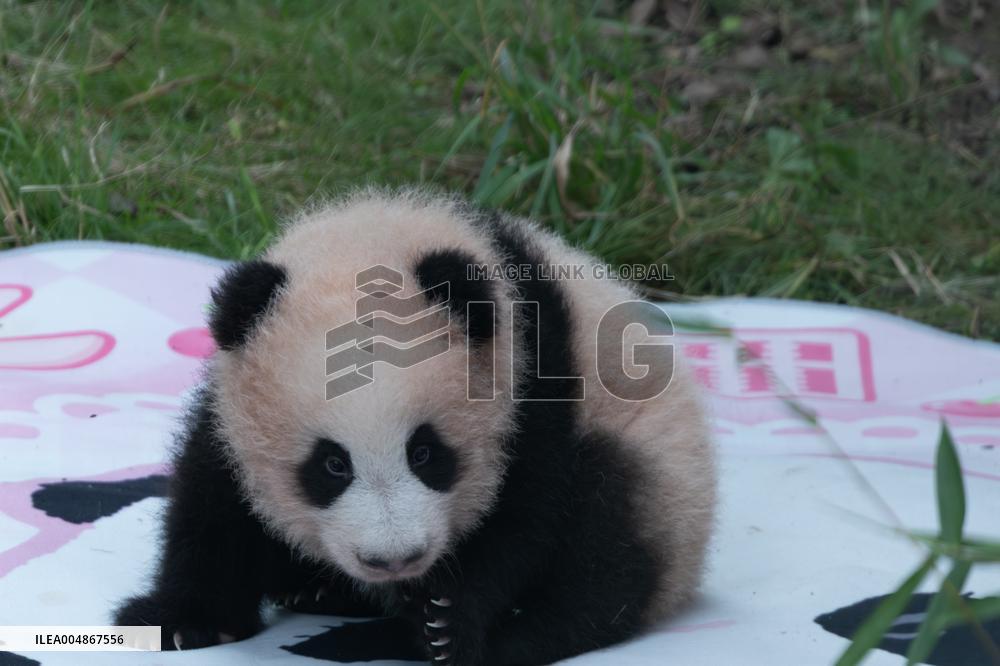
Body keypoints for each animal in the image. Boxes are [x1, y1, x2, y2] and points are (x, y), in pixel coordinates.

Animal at [114, 189, 716, 665]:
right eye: (331, 465)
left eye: (426, 454)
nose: (393, 561)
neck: (373, 240)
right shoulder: (232, 403)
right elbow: (214, 501)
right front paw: (180, 621)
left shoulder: (534, 377)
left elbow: (526, 514)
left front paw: (446, 625)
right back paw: (318, 592)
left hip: (660, 477)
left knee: (606, 546)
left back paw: (515, 636)